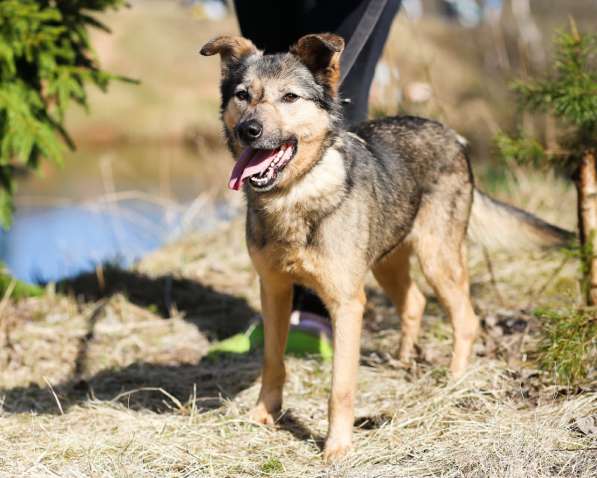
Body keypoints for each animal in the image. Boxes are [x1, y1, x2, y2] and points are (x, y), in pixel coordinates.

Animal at [201, 32, 572, 460]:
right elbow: (272, 362)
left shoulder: (347, 303)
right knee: (415, 303)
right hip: (386, 262)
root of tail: (453, 135)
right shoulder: (275, 291)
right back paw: (402, 360)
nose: (250, 130)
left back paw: (453, 381)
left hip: (437, 259)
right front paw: (264, 415)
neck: (295, 194)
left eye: (290, 97)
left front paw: (337, 447)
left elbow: (340, 387)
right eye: (243, 95)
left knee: (466, 319)